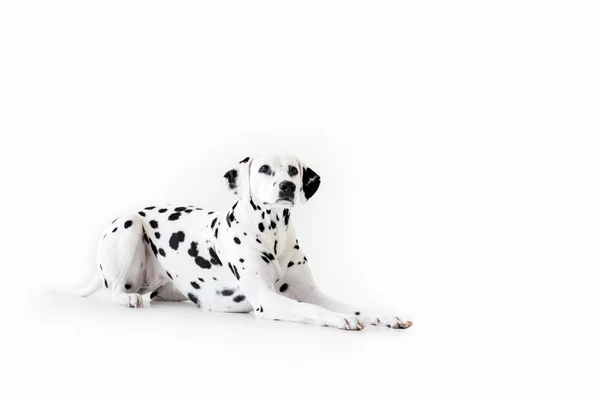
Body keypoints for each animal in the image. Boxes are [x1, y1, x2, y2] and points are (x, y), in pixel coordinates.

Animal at [67, 153, 412, 332]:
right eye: (264, 169)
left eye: (293, 170)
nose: (287, 186)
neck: (273, 232)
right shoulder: (267, 299)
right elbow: (312, 309)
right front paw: (341, 318)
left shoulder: (310, 291)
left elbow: (350, 304)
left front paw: (383, 315)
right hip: (128, 228)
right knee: (115, 290)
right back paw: (128, 299)